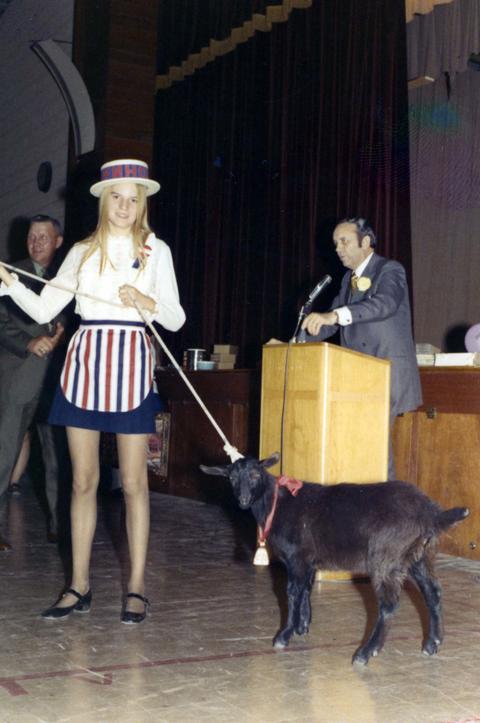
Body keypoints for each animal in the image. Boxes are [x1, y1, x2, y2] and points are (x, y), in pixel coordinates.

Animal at [201, 456, 470, 664]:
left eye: (256, 475)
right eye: (232, 478)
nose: (243, 500)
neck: (277, 504)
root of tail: (430, 513)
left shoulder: (297, 557)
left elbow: (292, 592)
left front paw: (284, 634)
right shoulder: (308, 560)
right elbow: (305, 590)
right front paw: (302, 626)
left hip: (385, 557)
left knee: (389, 604)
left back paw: (365, 653)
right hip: (419, 555)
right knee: (433, 592)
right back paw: (432, 644)